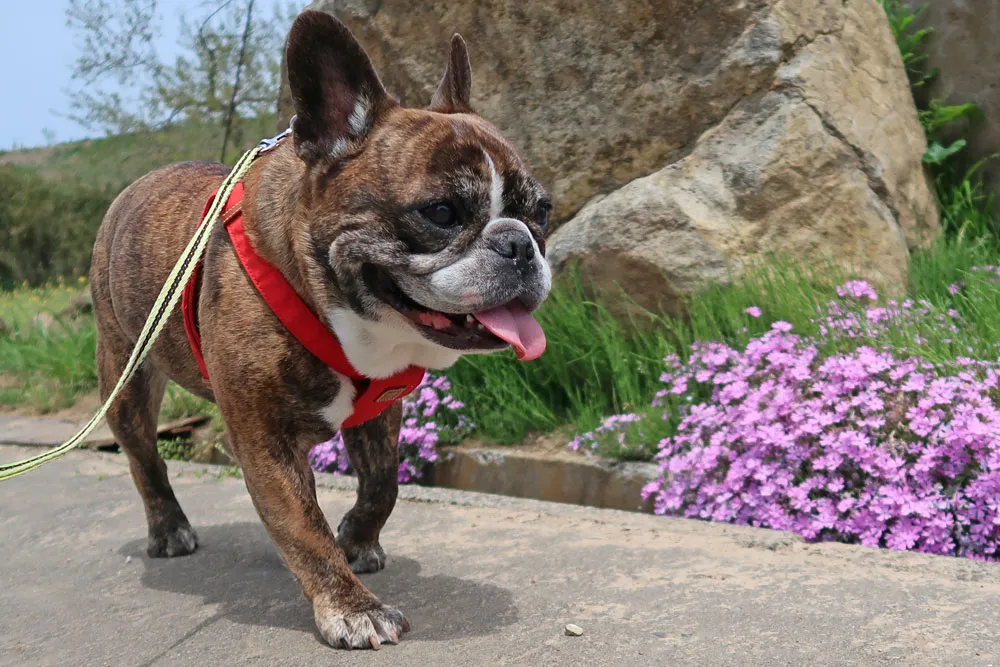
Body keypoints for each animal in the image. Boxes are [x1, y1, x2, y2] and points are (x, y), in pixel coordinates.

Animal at [89, 9, 552, 648]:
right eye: (440, 213)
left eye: (543, 212)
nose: (519, 244)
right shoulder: (264, 438)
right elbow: (303, 526)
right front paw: (350, 606)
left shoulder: (381, 413)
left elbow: (383, 484)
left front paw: (355, 539)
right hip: (126, 379)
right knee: (144, 457)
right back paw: (168, 527)